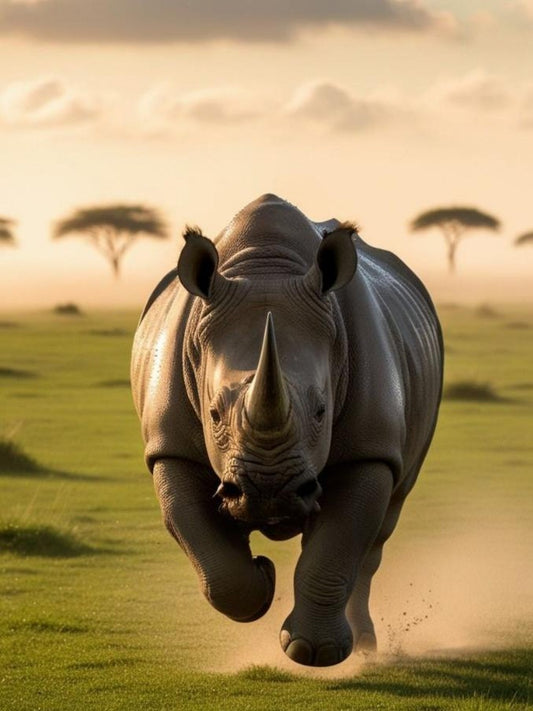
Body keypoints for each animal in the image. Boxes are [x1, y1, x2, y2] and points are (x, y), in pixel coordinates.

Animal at [131, 194, 443, 667]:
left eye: (320, 411)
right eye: (214, 414)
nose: (268, 491)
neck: (266, 267)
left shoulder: (370, 449)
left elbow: (340, 543)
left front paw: (314, 652)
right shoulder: (170, 447)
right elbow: (205, 548)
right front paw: (261, 582)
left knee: (379, 530)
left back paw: (363, 646)